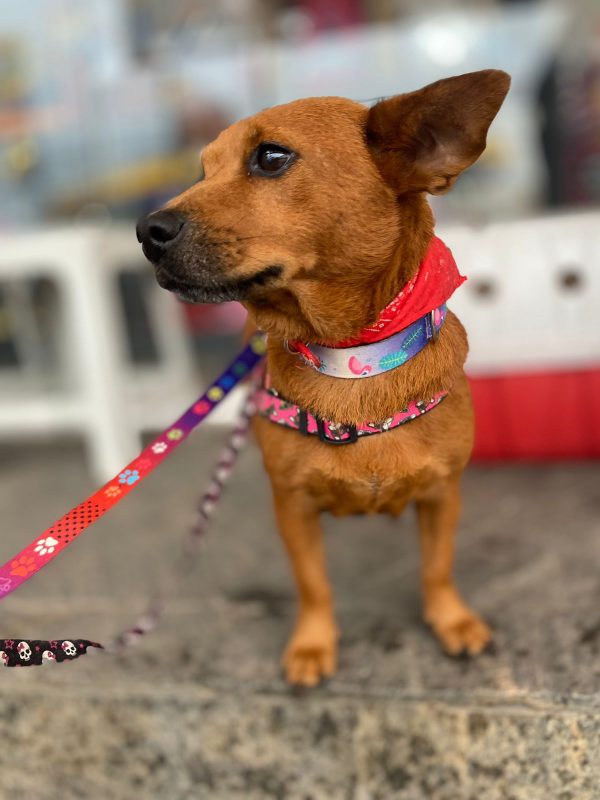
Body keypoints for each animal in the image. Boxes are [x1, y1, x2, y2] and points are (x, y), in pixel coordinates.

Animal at [137, 70, 510, 688]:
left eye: (270, 157)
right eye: (201, 171)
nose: (145, 230)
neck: (353, 358)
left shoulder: (442, 495)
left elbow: (437, 567)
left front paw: (451, 620)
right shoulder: (293, 508)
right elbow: (313, 584)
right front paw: (313, 644)